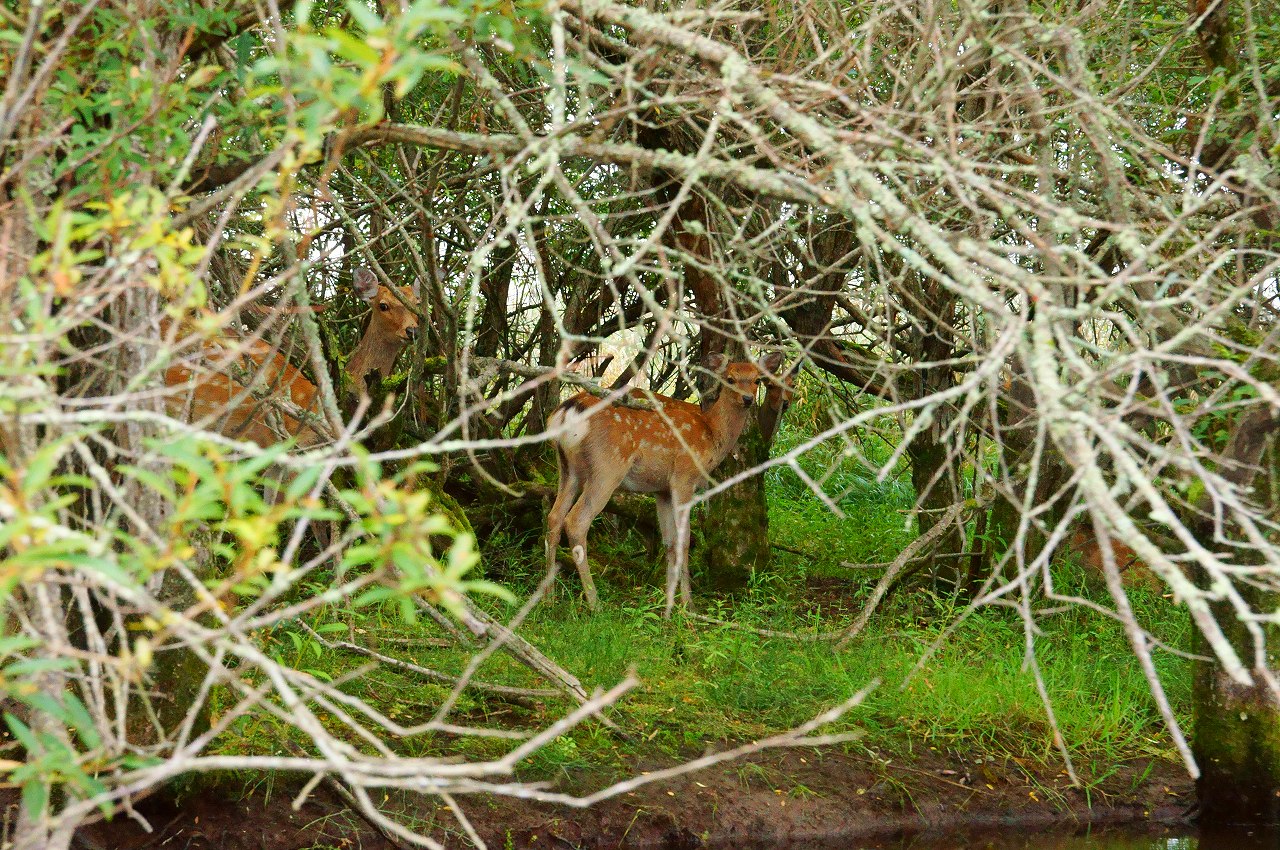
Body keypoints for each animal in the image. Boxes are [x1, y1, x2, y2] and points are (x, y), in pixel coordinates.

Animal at [545, 350, 783, 617]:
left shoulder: (662, 490)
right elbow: (684, 540)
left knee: (554, 517)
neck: (712, 434)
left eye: (757, 380)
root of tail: (566, 412)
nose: (747, 399)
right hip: (607, 466)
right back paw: (595, 603)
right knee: (576, 521)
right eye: (730, 379)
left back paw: (548, 598)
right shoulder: (684, 477)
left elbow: (669, 542)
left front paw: (667, 606)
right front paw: (688, 604)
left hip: (569, 469)